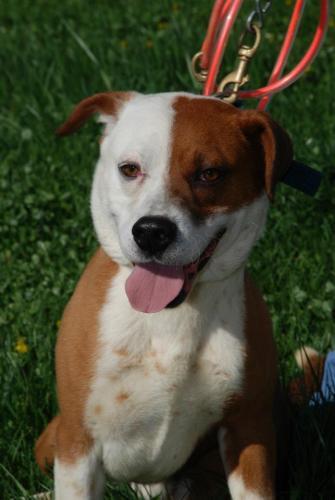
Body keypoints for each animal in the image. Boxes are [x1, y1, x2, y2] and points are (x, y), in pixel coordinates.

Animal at [35, 92, 294, 498]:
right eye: (129, 169)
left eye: (210, 173)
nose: (152, 232)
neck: (171, 316)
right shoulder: (78, 440)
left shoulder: (249, 431)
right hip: (53, 438)